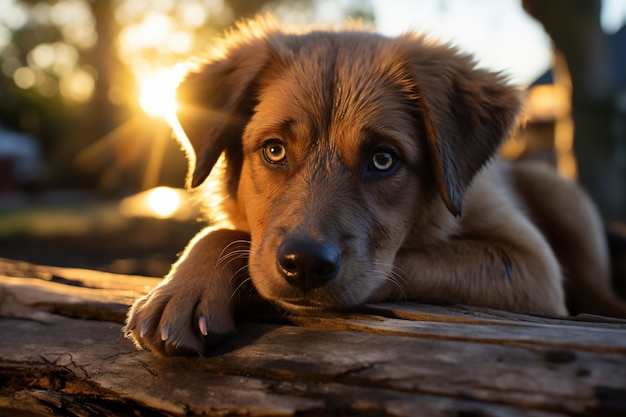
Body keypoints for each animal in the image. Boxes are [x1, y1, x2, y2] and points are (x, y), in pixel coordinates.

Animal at [125, 14, 624, 356]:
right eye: (274, 151)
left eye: (383, 160)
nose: (305, 265)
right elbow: (228, 234)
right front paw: (182, 287)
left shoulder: (532, 265)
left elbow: (408, 263)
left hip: (561, 195)